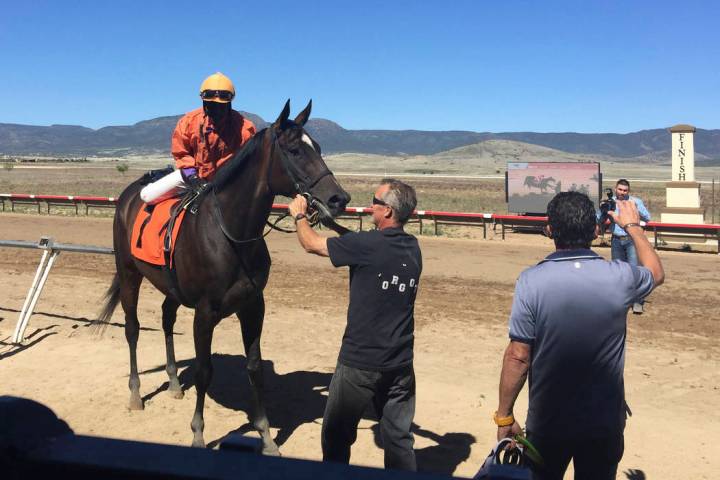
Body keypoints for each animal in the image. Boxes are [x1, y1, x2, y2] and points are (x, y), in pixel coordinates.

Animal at [98, 99, 352, 452]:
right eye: (294, 151)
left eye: (318, 147)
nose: (338, 199)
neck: (232, 234)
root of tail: (129, 196)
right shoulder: (205, 313)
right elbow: (204, 370)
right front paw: (198, 434)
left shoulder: (253, 306)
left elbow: (255, 367)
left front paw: (266, 435)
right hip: (129, 273)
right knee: (133, 329)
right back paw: (136, 395)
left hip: (171, 287)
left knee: (166, 318)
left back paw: (174, 382)